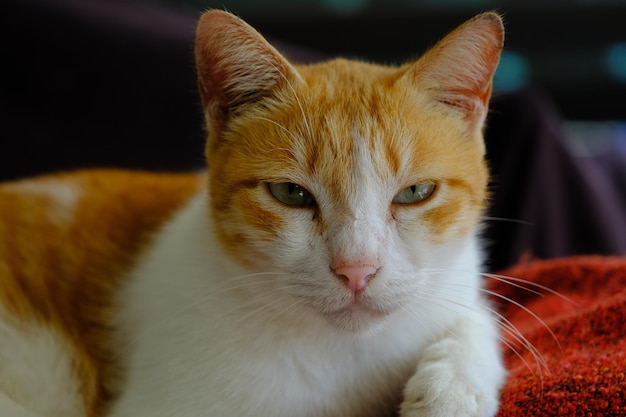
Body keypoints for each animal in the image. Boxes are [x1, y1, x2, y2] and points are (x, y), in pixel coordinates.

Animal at [0, 8, 504, 416]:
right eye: (290, 194)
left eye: (416, 192)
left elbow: (478, 321)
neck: (343, 355)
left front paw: (448, 392)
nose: (356, 270)